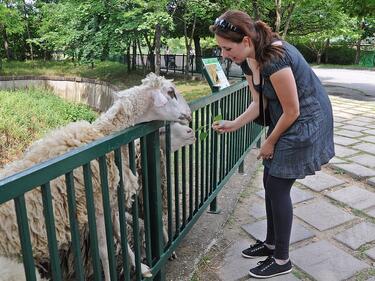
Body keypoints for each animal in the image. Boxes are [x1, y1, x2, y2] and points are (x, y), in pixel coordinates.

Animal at [0, 72, 191, 280]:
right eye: (171, 92)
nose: (189, 115)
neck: (103, 135)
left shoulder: (110, 201)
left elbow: (120, 234)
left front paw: (142, 267)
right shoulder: (97, 204)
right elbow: (104, 251)